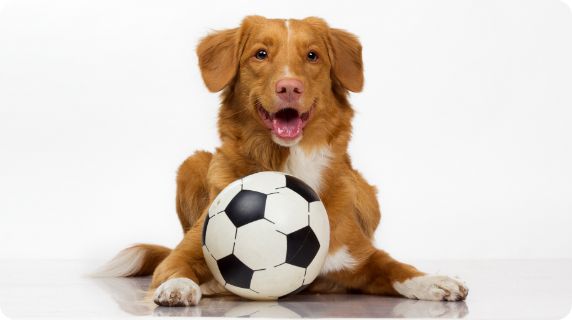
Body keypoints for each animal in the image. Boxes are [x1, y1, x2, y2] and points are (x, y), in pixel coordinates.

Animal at [95, 16, 470, 306]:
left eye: (312, 56)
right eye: (261, 54)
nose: (289, 87)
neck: (286, 162)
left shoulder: (359, 255)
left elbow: (396, 267)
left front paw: (433, 280)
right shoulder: (187, 252)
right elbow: (177, 267)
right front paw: (179, 287)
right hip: (192, 164)